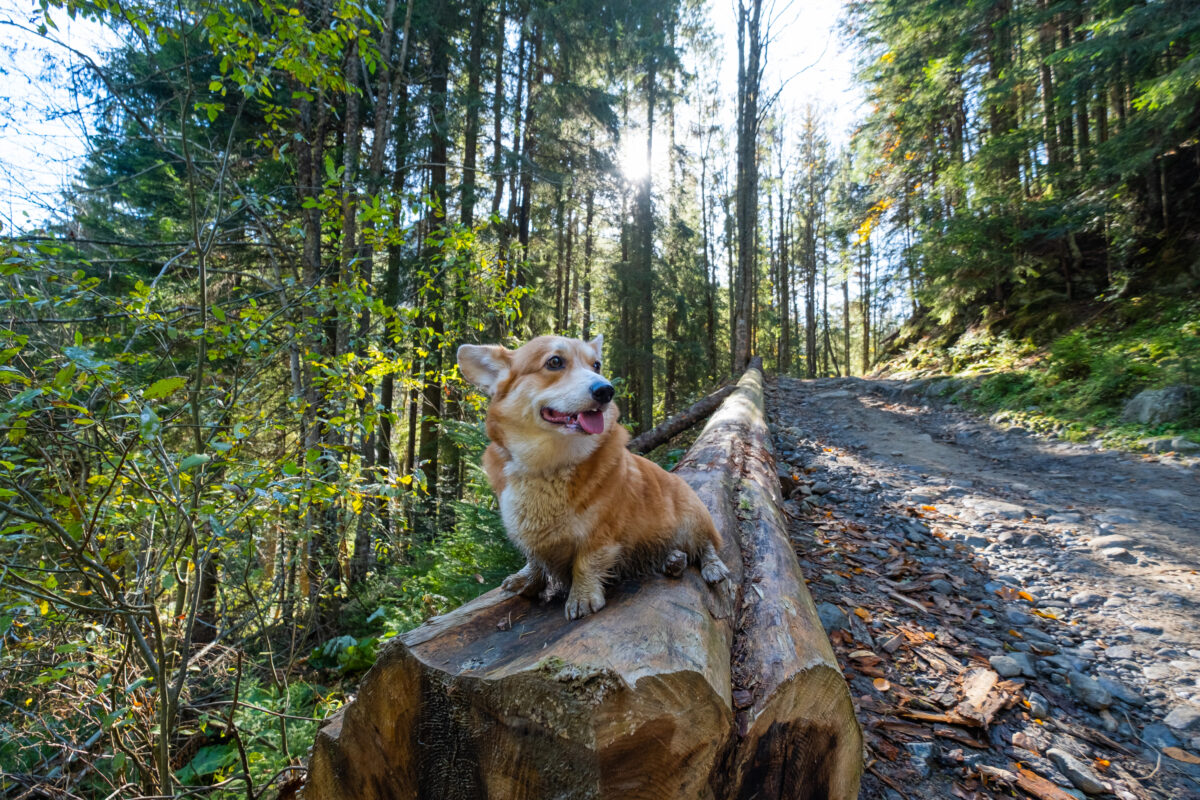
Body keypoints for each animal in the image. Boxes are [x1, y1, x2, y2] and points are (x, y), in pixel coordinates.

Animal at [456, 331, 729, 618]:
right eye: (554, 362)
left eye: (596, 365)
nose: (607, 390)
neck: (549, 465)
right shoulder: (527, 532)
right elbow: (534, 559)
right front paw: (527, 579)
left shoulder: (600, 534)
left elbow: (586, 563)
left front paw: (582, 598)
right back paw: (673, 560)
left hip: (692, 518)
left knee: (707, 546)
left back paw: (712, 568)